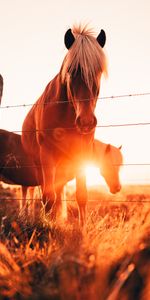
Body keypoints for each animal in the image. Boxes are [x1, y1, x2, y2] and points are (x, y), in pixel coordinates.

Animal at [21, 23, 108, 218]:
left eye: (98, 71)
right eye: (71, 71)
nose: (86, 122)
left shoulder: (81, 155)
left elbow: (81, 196)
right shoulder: (46, 155)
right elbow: (47, 198)